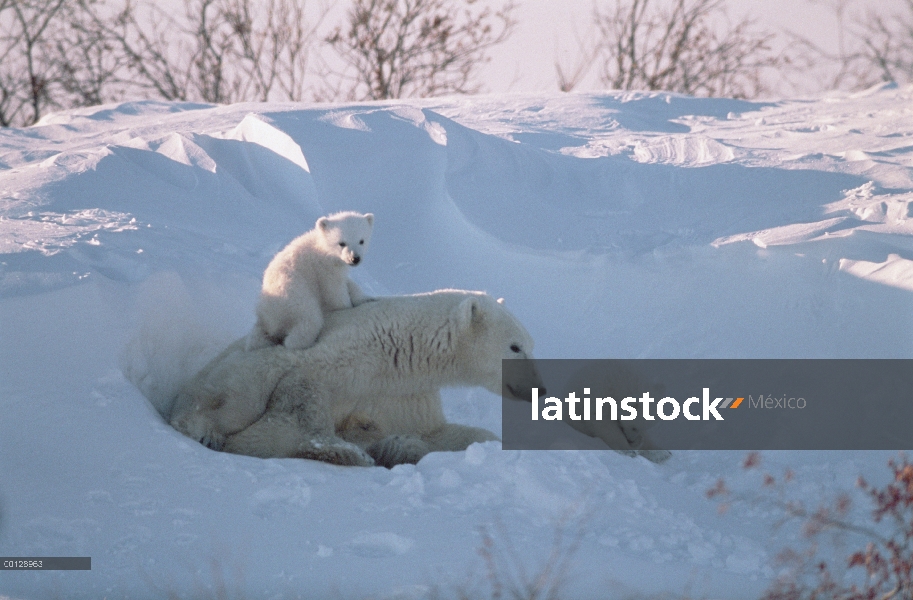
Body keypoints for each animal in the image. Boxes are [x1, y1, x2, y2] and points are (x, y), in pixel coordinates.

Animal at [169, 290, 540, 468]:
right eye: (515, 346)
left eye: (531, 344)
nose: (538, 386)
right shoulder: (326, 354)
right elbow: (296, 399)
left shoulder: (405, 393)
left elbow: (433, 432)